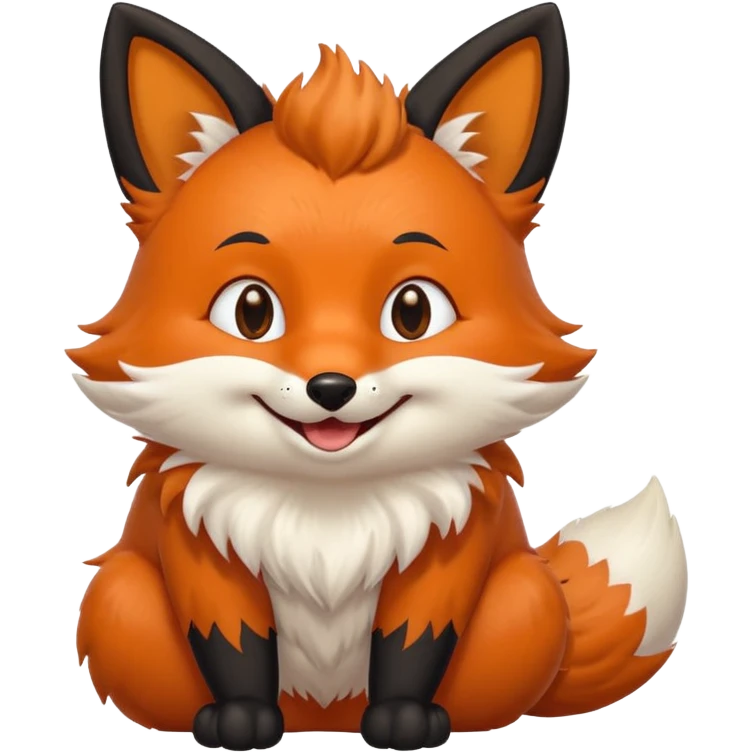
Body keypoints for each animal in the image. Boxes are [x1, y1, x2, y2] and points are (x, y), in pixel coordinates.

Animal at [72, 2, 689, 751]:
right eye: (252, 311)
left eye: (412, 311)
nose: (331, 388)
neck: (328, 510)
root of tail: (323, 718)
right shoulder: (200, 549)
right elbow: (234, 643)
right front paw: (240, 719)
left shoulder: (447, 551)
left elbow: (413, 643)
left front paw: (405, 721)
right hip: (117, 598)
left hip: (529, 594)